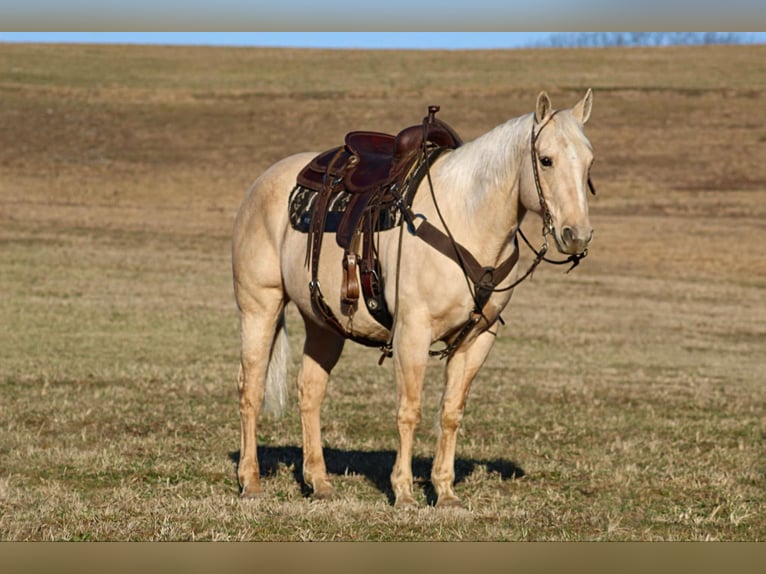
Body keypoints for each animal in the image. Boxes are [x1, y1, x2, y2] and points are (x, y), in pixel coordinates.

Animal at [234, 90, 600, 508]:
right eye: (546, 160)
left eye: (589, 161)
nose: (577, 235)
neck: (466, 218)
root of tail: (262, 182)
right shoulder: (413, 331)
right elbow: (409, 411)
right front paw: (405, 492)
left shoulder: (477, 339)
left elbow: (451, 412)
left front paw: (445, 491)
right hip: (259, 307)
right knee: (251, 389)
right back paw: (250, 482)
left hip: (323, 323)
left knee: (310, 390)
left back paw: (320, 482)